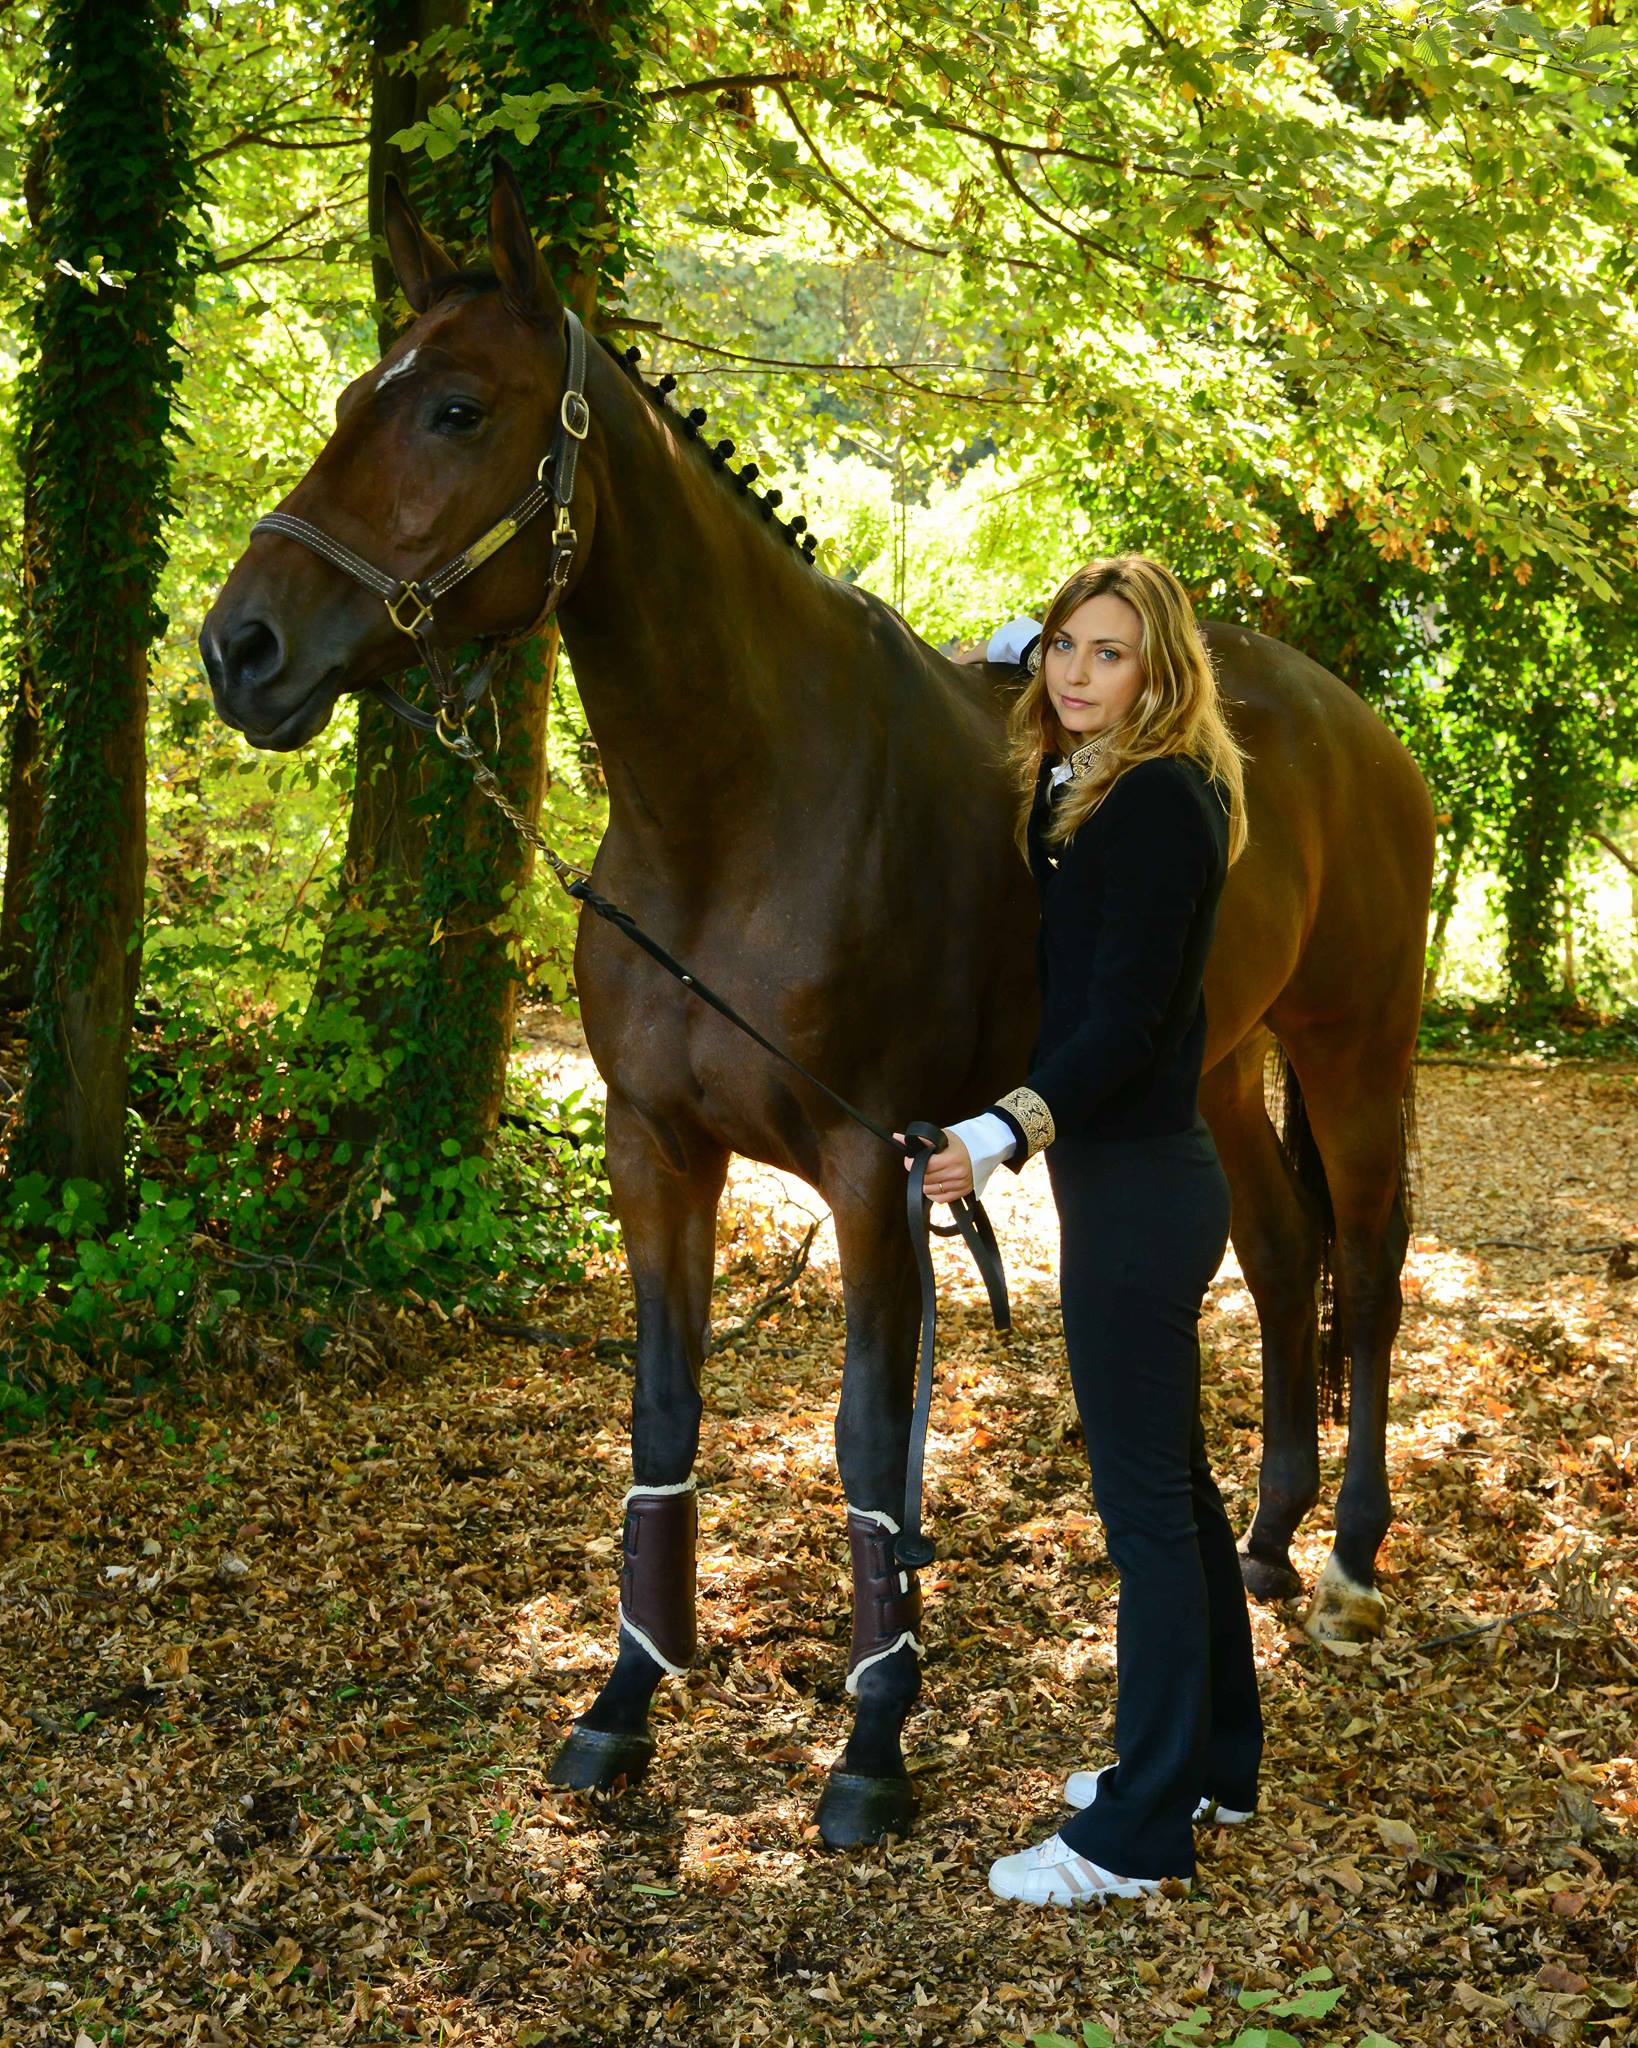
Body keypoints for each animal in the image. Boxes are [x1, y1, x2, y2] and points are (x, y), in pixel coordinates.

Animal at [201, 167, 1433, 1851]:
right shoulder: (656, 1152)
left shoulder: (873, 1169)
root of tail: (1348, 722)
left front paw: (871, 1743)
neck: (742, 805)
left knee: (1362, 1275)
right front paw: (623, 1705)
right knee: (1277, 1251)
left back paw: (1352, 1561)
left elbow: (867, 1444)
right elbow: (661, 1420)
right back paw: (1261, 1540)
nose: (238, 647)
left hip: (1355, 1047)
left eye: (454, 409)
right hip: (1217, 1066)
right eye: (350, 398)